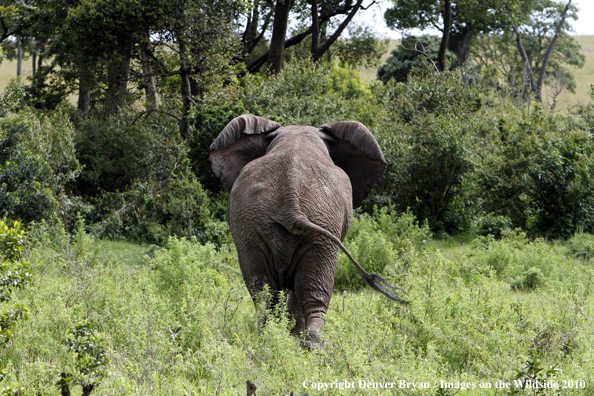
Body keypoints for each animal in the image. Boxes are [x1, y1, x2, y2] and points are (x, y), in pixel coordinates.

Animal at [208, 113, 408, 346]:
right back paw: (311, 346)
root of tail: (291, 203)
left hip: (255, 225)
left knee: (264, 293)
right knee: (313, 291)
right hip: (317, 229)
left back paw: (271, 340)